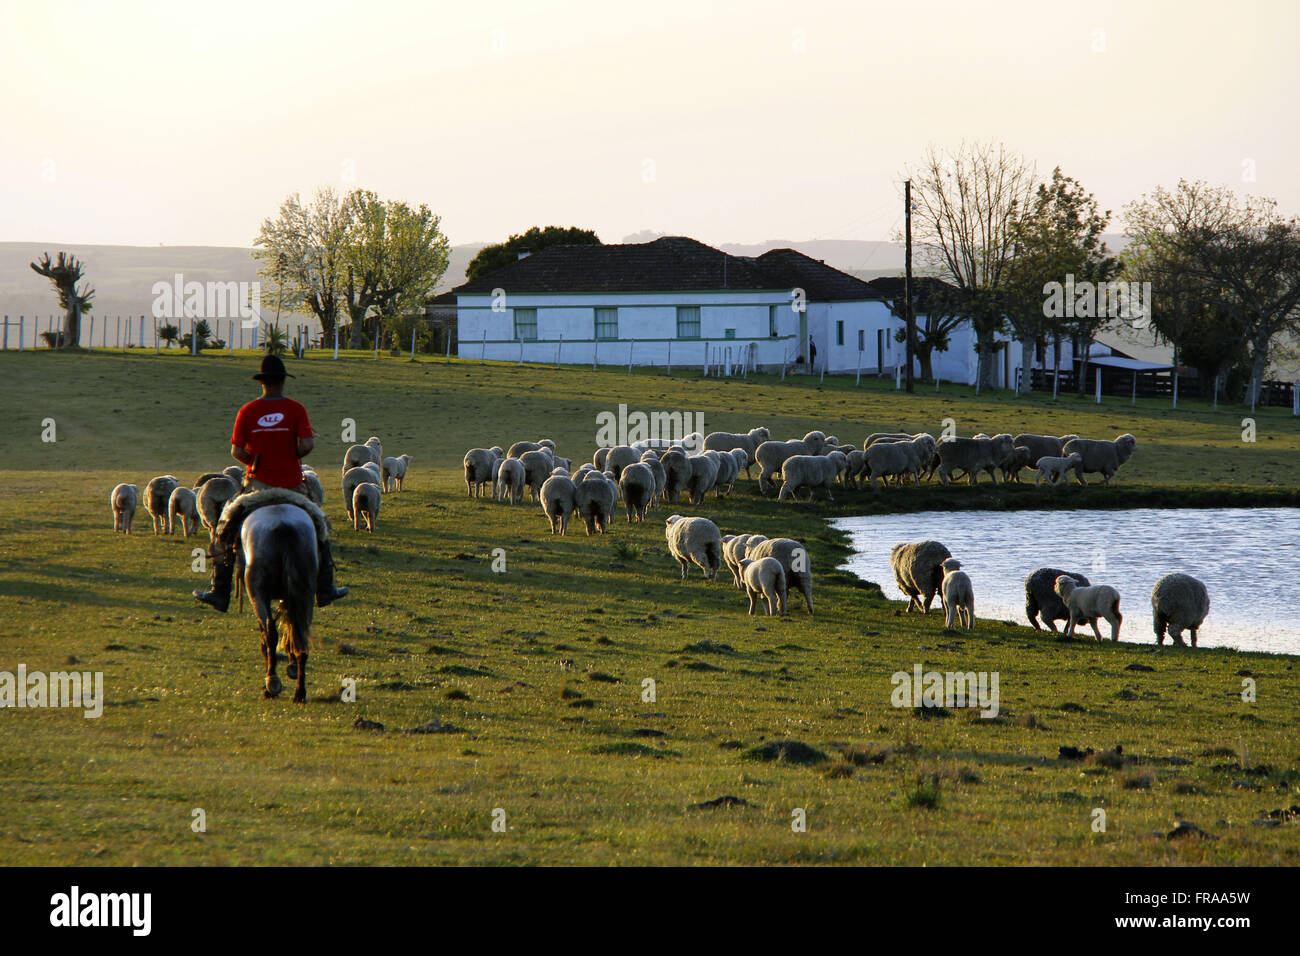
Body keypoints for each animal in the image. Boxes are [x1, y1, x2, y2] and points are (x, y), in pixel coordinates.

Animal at [243, 502, 318, 702]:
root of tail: (283, 526)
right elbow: (290, 626)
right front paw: (291, 665)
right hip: (305, 593)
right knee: (300, 633)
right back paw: (300, 692)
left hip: (258, 592)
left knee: (270, 631)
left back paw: (272, 683)